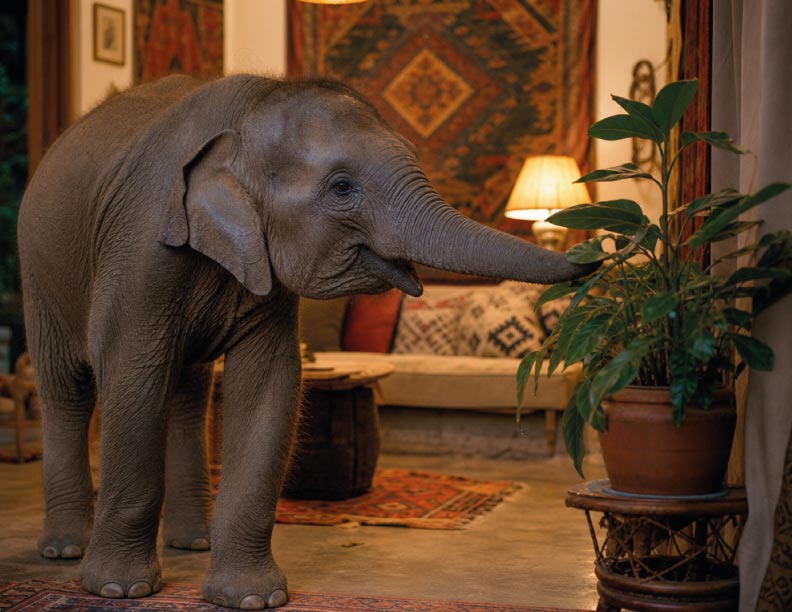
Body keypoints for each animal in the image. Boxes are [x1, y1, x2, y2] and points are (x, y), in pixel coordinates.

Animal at [17, 74, 593, 609]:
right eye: (341, 188)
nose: (596, 253)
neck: (247, 116)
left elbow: (269, 385)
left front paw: (251, 599)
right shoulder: (142, 245)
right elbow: (133, 373)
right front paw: (121, 590)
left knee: (188, 394)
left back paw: (194, 544)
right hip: (38, 272)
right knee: (67, 389)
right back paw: (65, 550)